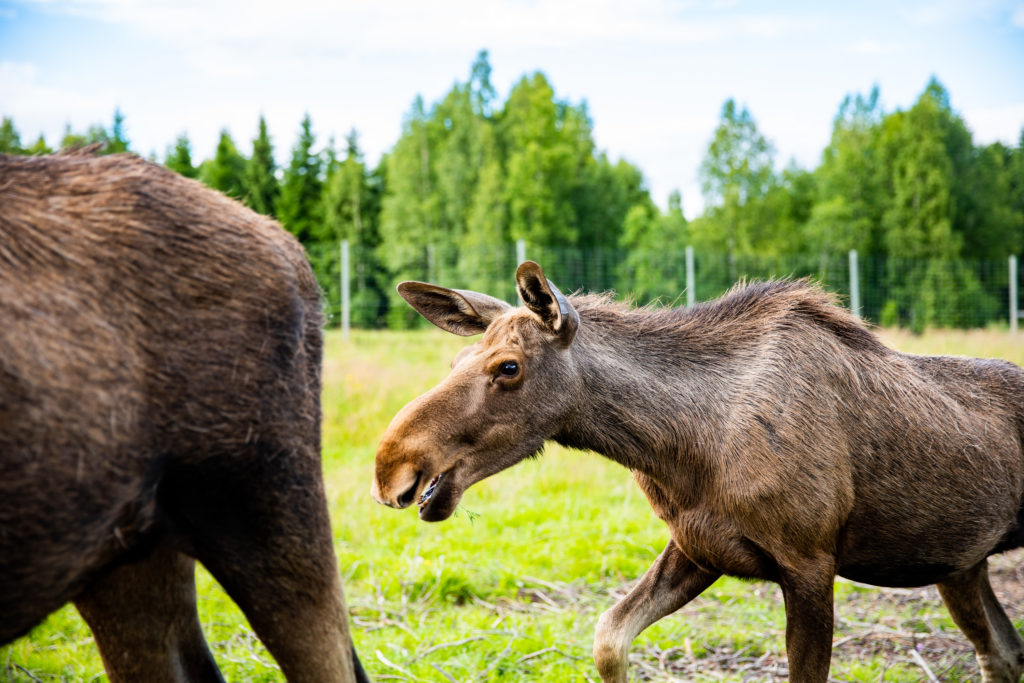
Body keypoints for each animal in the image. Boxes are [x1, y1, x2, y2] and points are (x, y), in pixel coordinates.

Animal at [372, 262, 1024, 683]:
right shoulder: (698, 547)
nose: (390, 466)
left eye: (507, 367)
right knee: (1002, 654)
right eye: (457, 358)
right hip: (961, 564)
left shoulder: (810, 562)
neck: (679, 446)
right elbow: (608, 639)